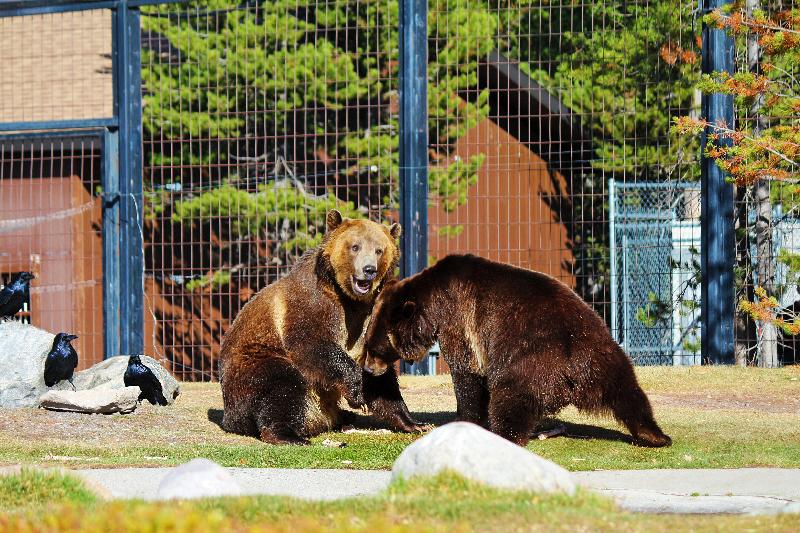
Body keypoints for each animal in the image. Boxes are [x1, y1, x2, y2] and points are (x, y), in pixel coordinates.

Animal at [216, 210, 422, 442]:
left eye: (379, 250)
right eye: (355, 246)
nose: (369, 270)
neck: (349, 298)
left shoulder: (368, 314)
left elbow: (380, 374)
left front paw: (411, 422)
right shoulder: (312, 302)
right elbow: (311, 343)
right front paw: (356, 392)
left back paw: (345, 418)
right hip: (253, 361)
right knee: (281, 383)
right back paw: (288, 435)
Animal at [366, 256, 672, 446]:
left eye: (374, 346)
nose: (368, 367)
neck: (432, 306)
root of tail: (574, 366)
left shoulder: (459, 324)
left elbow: (467, 376)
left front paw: (463, 418)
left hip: (529, 359)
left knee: (511, 397)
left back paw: (505, 435)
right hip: (604, 352)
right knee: (629, 392)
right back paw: (655, 435)